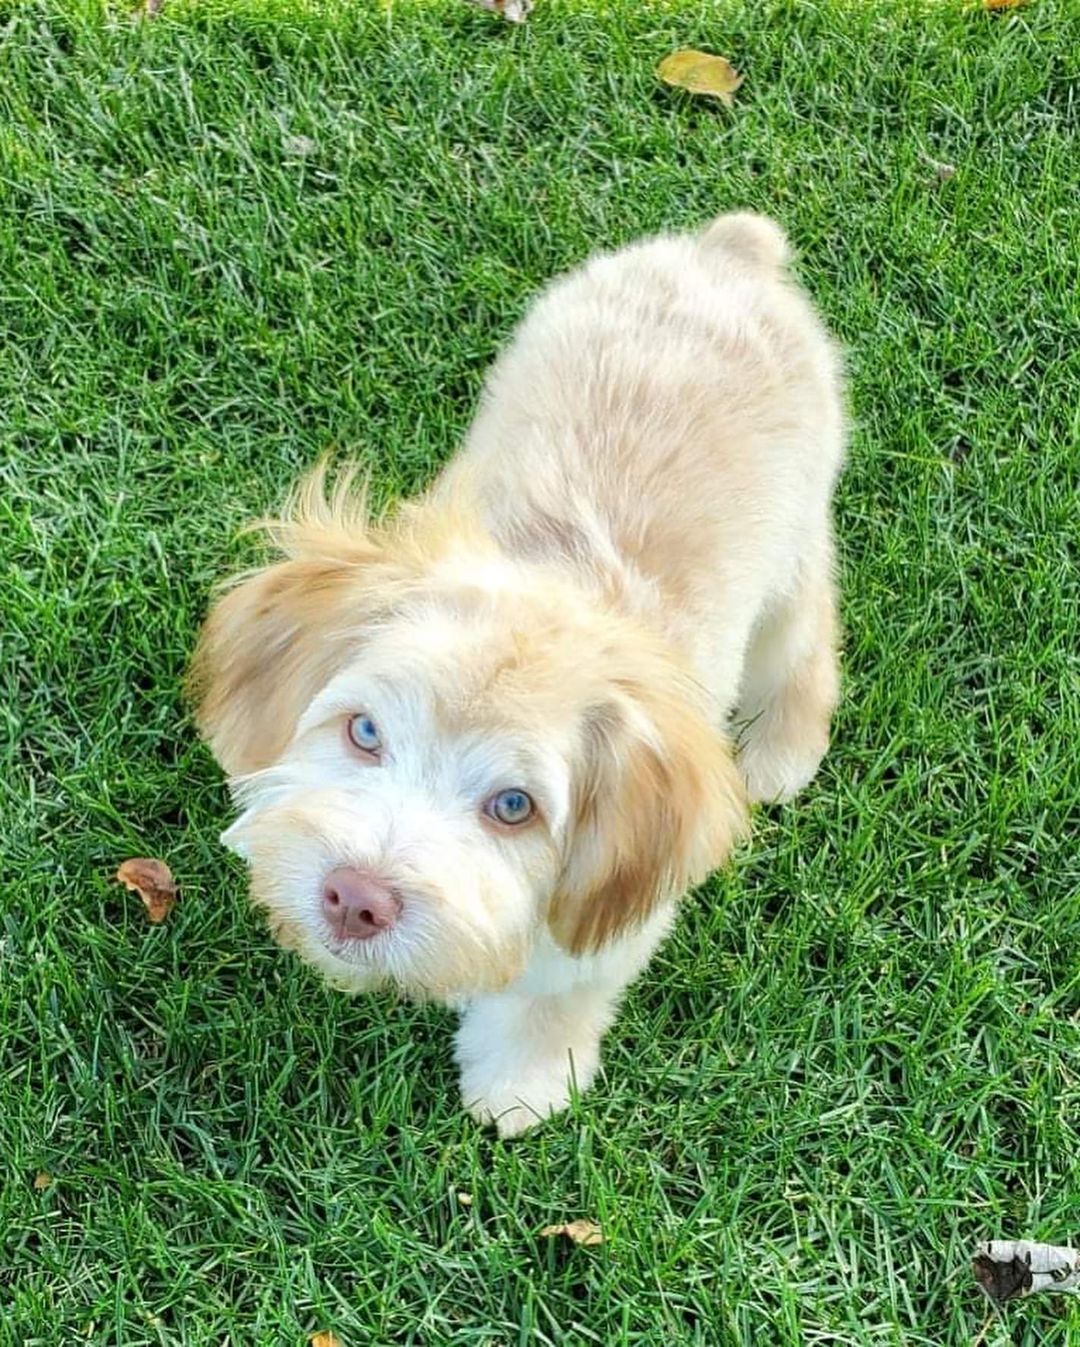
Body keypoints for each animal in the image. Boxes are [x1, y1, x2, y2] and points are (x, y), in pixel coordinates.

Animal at [195, 212, 851, 1136]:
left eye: (514, 807)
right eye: (364, 730)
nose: (355, 898)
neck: (557, 579)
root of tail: (728, 249)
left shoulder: (601, 923)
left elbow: (553, 998)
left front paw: (522, 1085)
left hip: (794, 546)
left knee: (806, 634)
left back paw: (779, 748)